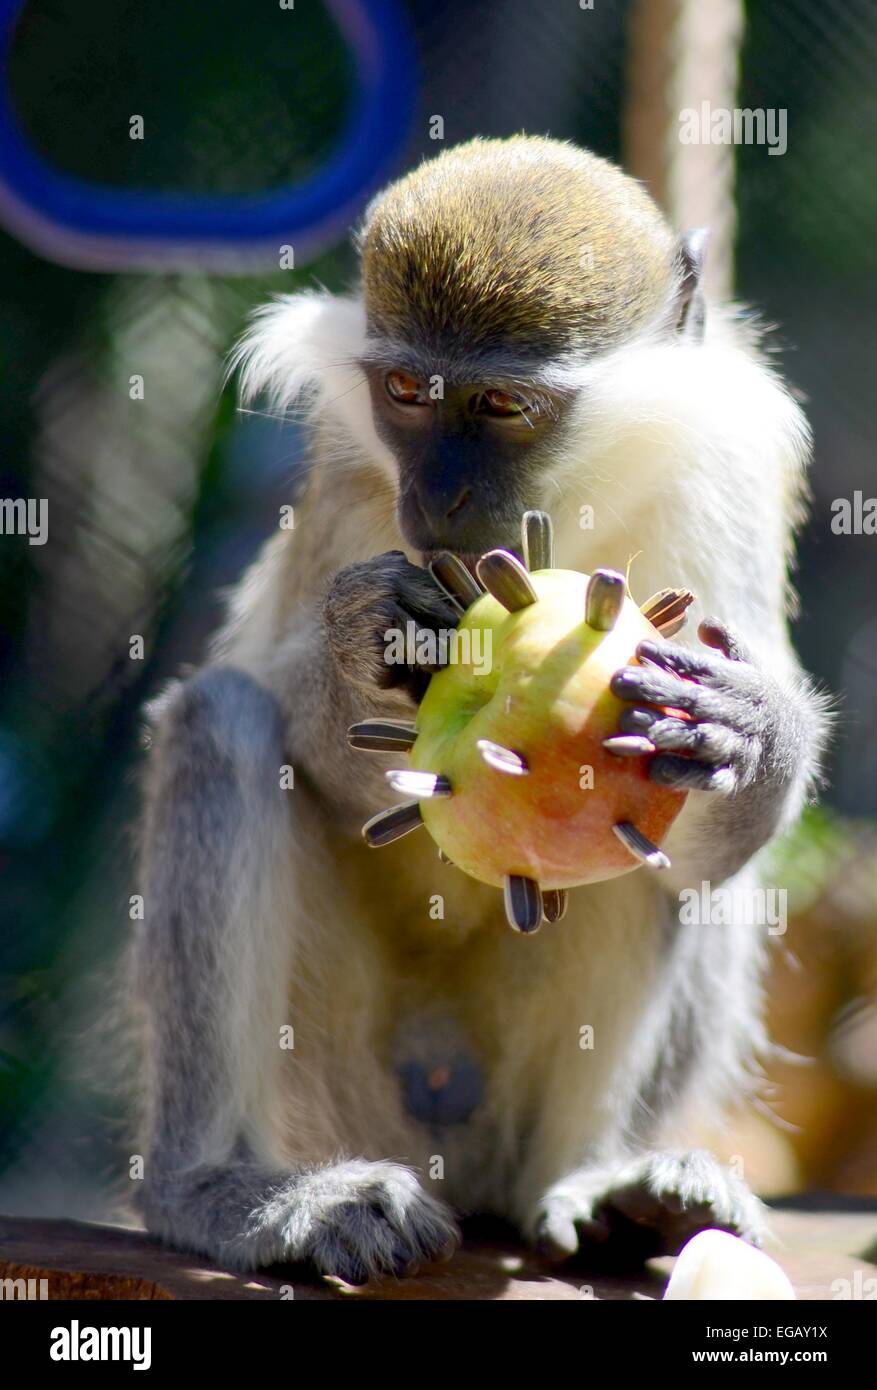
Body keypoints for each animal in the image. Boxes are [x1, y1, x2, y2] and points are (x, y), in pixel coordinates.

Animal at [133, 136, 828, 1282]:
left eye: (502, 406)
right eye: (407, 390)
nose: (440, 497)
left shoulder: (721, 474)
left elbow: (711, 837)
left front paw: (750, 729)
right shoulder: (348, 475)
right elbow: (312, 730)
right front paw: (370, 644)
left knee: (672, 869)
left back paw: (604, 1184)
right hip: (331, 1087)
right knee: (221, 721)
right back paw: (228, 1191)